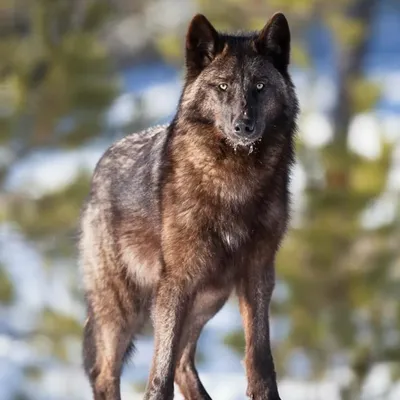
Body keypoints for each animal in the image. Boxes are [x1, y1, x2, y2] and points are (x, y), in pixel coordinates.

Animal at [79, 11, 298, 400]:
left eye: (259, 86)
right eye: (223, 87)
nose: (243, 125)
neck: (234, 181)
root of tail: (101, 163)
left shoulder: (258, 272)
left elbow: (258, 357)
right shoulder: (176, 282)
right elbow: (159, 373)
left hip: (209, 297)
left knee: (182, 362)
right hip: (123, 309)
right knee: (106, 373)